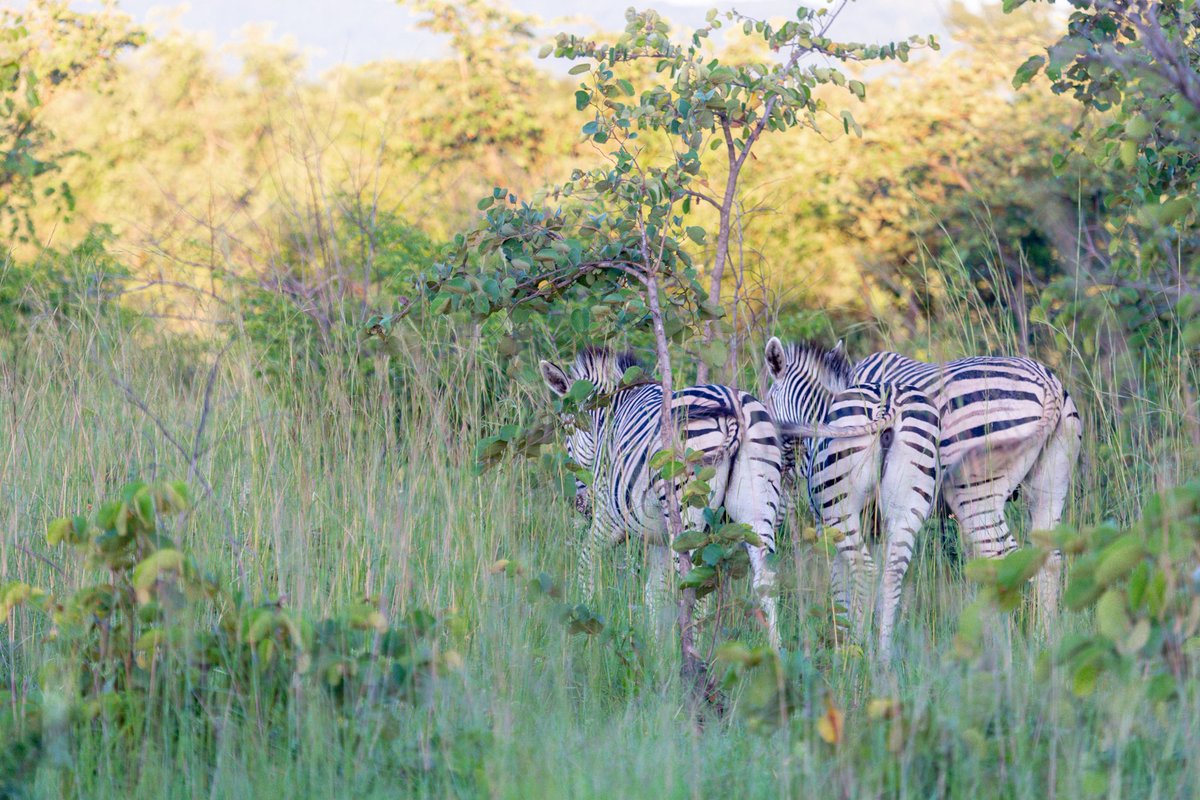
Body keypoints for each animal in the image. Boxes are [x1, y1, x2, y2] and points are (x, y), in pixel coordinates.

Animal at [542, 347, 787, 647]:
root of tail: (730, 404)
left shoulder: (609, 519)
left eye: (567, 431)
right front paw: (654, 649)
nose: (581, 505)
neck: (611, 412)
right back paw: (775, 652)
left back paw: (691, 652)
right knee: (765, 580)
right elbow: (653, 595)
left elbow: (586, 561)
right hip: (757, 508)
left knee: (694, 585)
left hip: (687, 515)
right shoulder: (657, 538)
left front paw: (583, 625)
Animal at [768, 338, 1089, 657]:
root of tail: (1047, 383)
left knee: (1003, 558)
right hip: (1050, 486)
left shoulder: (836, 515)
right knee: (1048, 561)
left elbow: (842, 581)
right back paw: (1044, 643)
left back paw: (1009, 650)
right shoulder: (878, 519)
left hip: (974, 493)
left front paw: (848, 643)